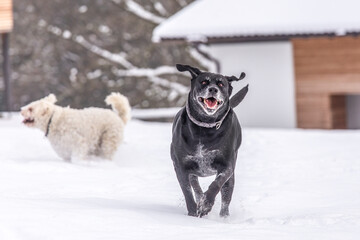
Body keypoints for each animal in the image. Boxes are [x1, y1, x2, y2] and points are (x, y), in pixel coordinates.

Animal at [171, 63, 249, 218]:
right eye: (203, 82)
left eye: (221, 84)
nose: (213, 89)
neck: (204, 127)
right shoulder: (180, 166)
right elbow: (187, 192)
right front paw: (193, 212)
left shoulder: (226, 166)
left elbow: (216, 184)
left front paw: (206, 204)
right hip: (192, 173)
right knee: (196, 187)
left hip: (230, 179)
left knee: (225, 199)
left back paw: (224, 217)